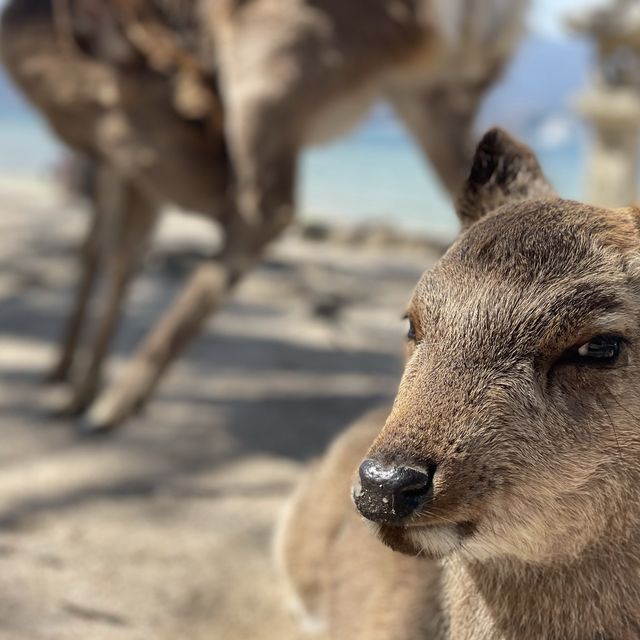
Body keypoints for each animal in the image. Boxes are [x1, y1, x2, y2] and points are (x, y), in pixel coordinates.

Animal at [0, 1, 528, 430]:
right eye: (194, 116)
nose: (220, 191)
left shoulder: (131, 162)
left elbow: (121, 250)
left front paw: (79, 392)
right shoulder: (116, 161)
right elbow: (100, 246)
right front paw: (62, 375)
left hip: (274, 61)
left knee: (269, 210)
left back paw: (112, 406)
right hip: (439, 96)